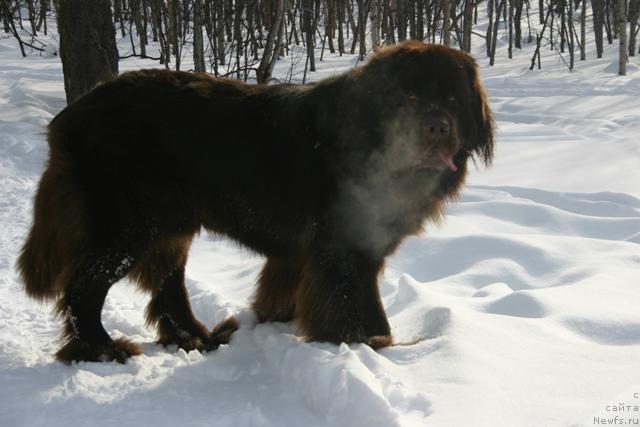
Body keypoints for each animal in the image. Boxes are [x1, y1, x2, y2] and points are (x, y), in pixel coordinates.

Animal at [16, 41, 496, 364]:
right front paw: (370, 345)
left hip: (170, 227)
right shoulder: (345, 244)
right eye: (409, 98)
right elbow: (355, 300)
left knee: (168, 286)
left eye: (453, 99)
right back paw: (104, 349)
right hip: (125, 225)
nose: (436, 127)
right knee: (83, 288)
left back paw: (198, 338)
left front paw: (277, 320)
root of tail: (69, 117)